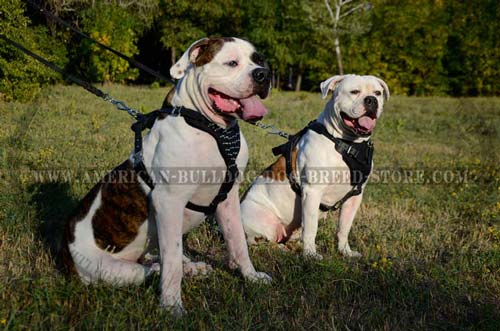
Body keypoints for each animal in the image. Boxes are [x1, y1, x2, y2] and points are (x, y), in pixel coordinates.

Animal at [64, 37, 274, 316]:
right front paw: (172, 306)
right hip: (112, 271)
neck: (211, 128)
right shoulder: (169, 202)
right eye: (231, 63)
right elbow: (171, 261)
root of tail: (65, 248)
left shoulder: (228, 200)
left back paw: (193, 267)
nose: (263, 74)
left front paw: (251, 276)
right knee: (151, 268)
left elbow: (238, 242)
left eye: (258, 60)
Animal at [240, 76, 388, 262]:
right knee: (260, 241)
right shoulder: (312, 192)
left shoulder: (354, 197)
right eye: (354, 92)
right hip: (261, 220)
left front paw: (345, 251)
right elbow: (311, 227)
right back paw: (280, 249)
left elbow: (344, 228)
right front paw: (310, 254)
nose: (371, 100)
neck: (346, 143)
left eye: (377, 93)